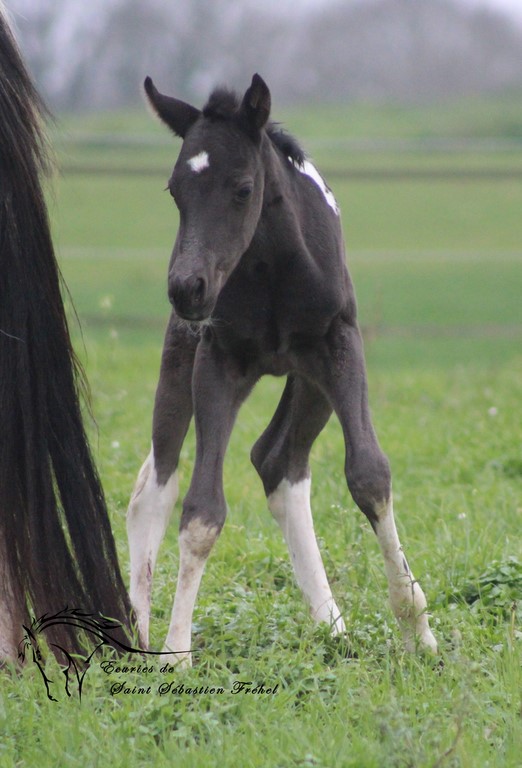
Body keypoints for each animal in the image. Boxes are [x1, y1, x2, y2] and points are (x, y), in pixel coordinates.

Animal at [127, 74, 438, 665]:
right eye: (175, 191)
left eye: (243, 188)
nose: (187, 288)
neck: (271, 266)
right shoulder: (217, 358)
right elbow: (200, 509)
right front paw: (177, 653)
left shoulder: (339, 344)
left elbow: (369, 475)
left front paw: (417, 631)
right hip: (182, 359)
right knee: (153, 489)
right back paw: (139, 631)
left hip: (310, 381)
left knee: (276, 460)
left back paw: (331, 626)